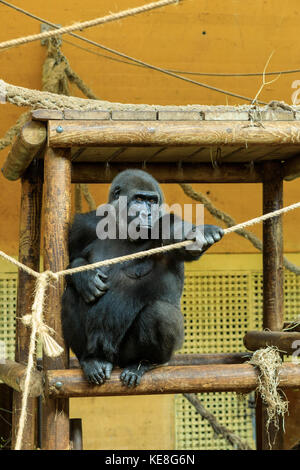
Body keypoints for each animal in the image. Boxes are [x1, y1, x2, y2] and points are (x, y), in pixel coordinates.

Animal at [61, 171, 223, 388]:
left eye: (152, 201)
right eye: (139, 199)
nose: (148, 214)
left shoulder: (162, 224)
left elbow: (177, 234)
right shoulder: (83, 227)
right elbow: (69, 263)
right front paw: (84, 276)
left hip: (129, 355)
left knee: (160, 312)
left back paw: (144, 363)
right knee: (71, 294)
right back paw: (91, 360)